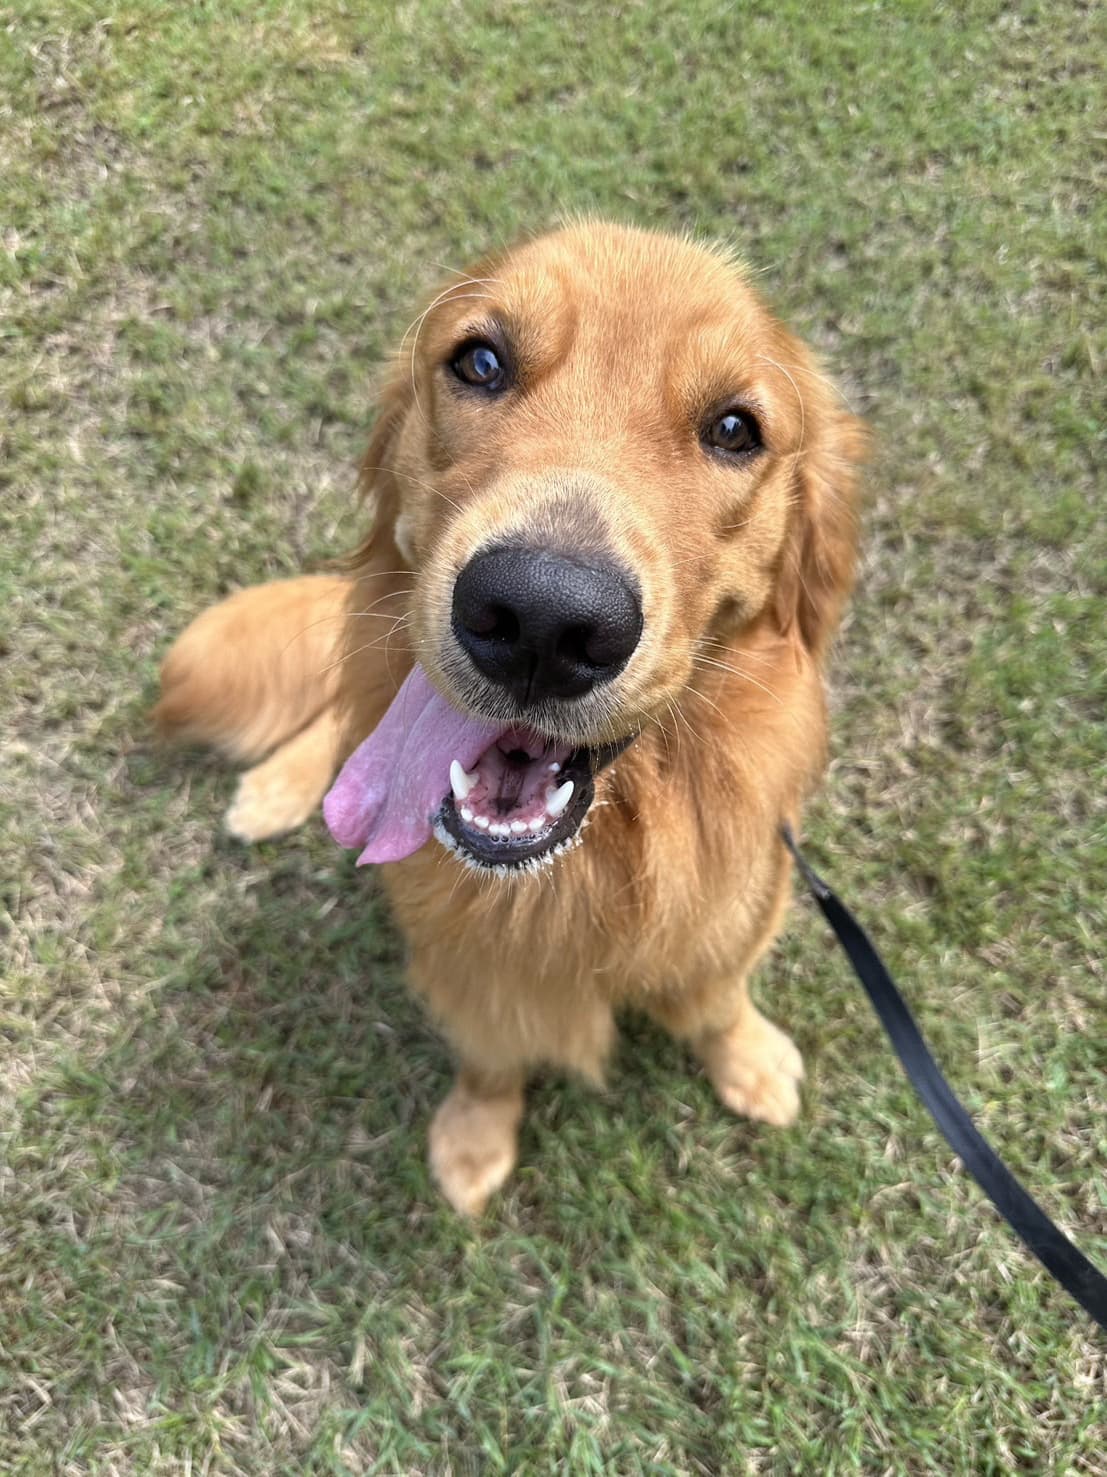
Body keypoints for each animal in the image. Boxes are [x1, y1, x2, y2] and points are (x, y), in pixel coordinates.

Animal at [155, 218, 863, 1211]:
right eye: (480, 361)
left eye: (734, 428)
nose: (541, 618)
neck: (588, 866)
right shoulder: (462, 957)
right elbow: (490, 1057)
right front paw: (474, 1136)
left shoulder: (738, 904)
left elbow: (721, 999)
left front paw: (749, 1060)